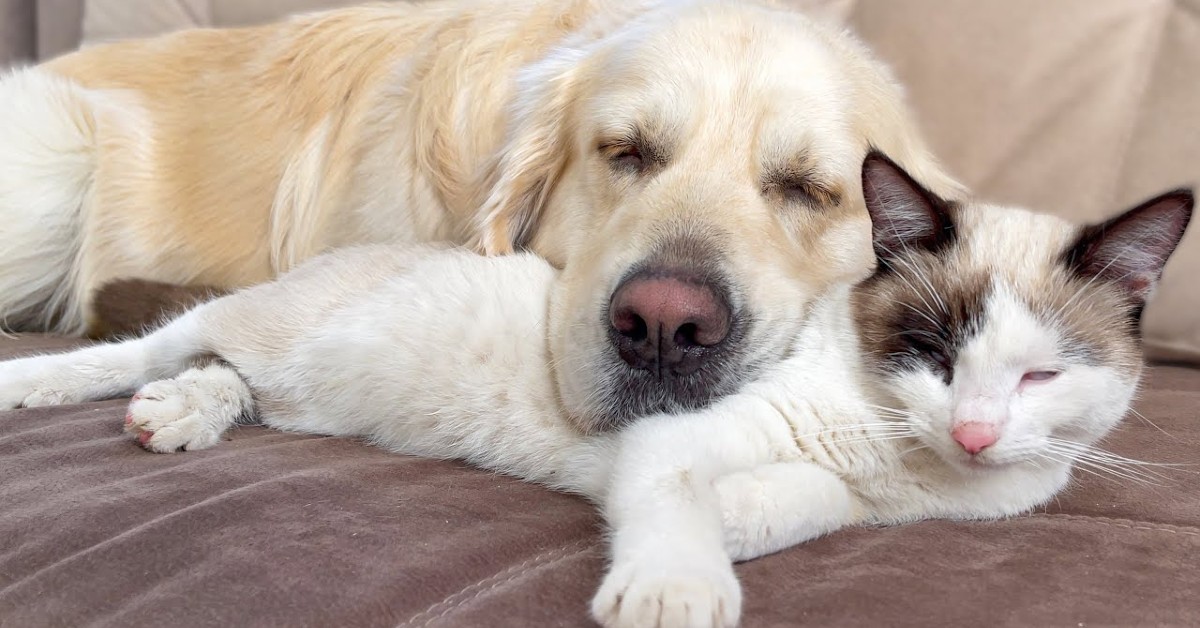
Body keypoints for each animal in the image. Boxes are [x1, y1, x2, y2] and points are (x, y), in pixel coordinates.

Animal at [0, 153, 1190, 628]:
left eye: (1042, 374)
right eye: (935, 351)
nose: (979, 430)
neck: (908, 472)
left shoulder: (858, 502)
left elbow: (802, 502)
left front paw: (738, 522)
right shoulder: (682, 437)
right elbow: (671, 506)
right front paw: (676, 588)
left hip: (288, 385)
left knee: (224, 382)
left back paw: (178, 419)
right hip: (249, 322)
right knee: (149, 347)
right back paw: (37, 385)